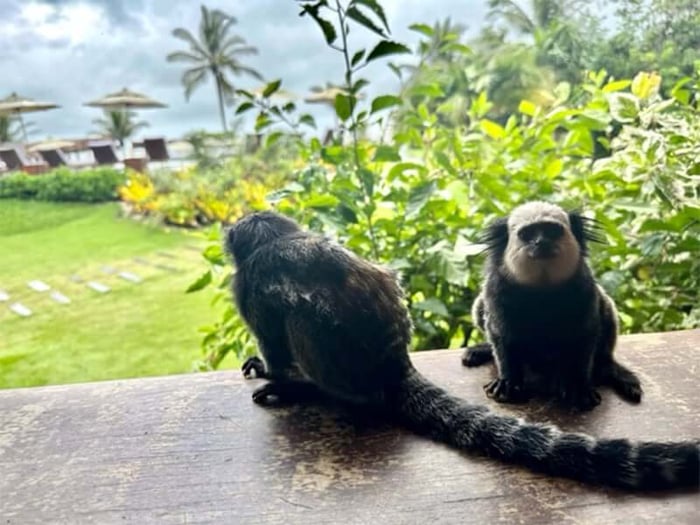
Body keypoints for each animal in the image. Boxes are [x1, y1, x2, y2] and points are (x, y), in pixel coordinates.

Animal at [462, 201, 643, 411]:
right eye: (527, 234)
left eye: (551, 230)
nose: (540, 242)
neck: (542, 289)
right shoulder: (495, 290)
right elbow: (501, 336)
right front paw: (508, 382)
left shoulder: (584, 289)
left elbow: (584, 336)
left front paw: (577, 386)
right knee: (480, 307)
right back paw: (483, 350)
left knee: (605, 306)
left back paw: (607, 367)